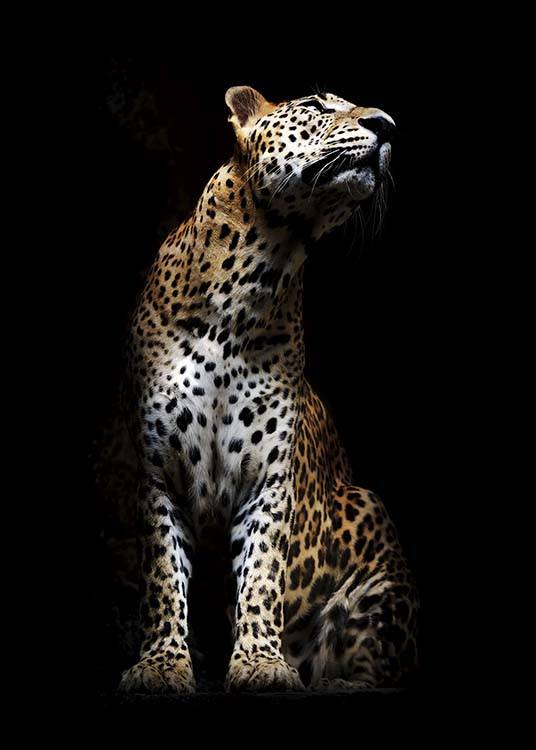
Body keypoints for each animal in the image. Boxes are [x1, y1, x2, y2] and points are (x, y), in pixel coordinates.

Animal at [101, 85, 418, 694]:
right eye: (318, 105)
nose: (388, 125)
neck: (258, 272)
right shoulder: (157, 473)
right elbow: (162, 578)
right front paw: (163, 664)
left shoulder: (269, 477)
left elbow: (262, 574)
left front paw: (260, 663)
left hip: (371, 521)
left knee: (378, 663)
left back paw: (335, 680)